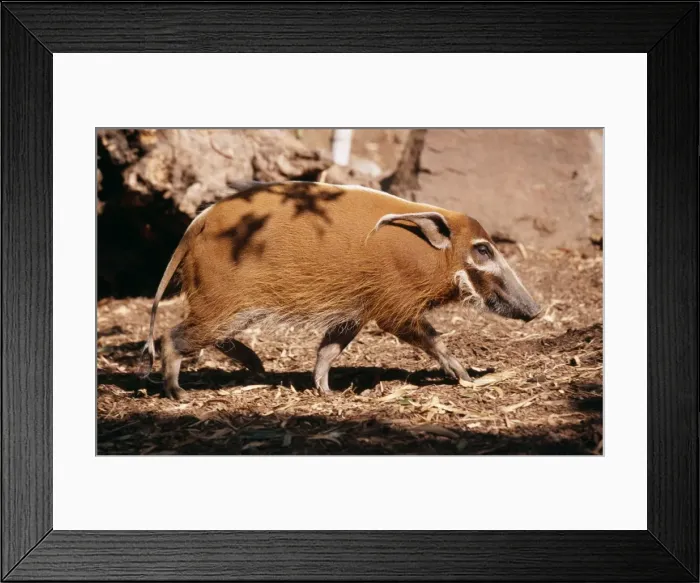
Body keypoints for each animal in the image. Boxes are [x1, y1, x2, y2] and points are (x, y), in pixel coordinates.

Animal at [143, 181, 540, 399]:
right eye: (483, 250)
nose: (536, 310)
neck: (428, 254)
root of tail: (200, 220)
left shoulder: (356, 311)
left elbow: (329, 349)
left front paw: (325, 390)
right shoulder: (394, 307)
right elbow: (432, 338)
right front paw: (466, 377)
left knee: (211, 337)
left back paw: (258, 369)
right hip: (222, 301)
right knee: (173, 335)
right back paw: (177, 392)